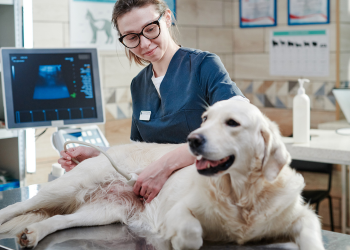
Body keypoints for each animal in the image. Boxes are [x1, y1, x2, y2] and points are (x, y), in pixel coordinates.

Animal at [0, 98, 324, 249]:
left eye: (232, 122)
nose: (193, 139)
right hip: (69, 186)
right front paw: (183, 240)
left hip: (102, 211)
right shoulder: (180, 211)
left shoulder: (301, 216)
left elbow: (311, 234)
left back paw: (32, 233)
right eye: (205, 118)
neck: (241, 195)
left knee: (57, 220)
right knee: (19, 206)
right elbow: (191, 229)